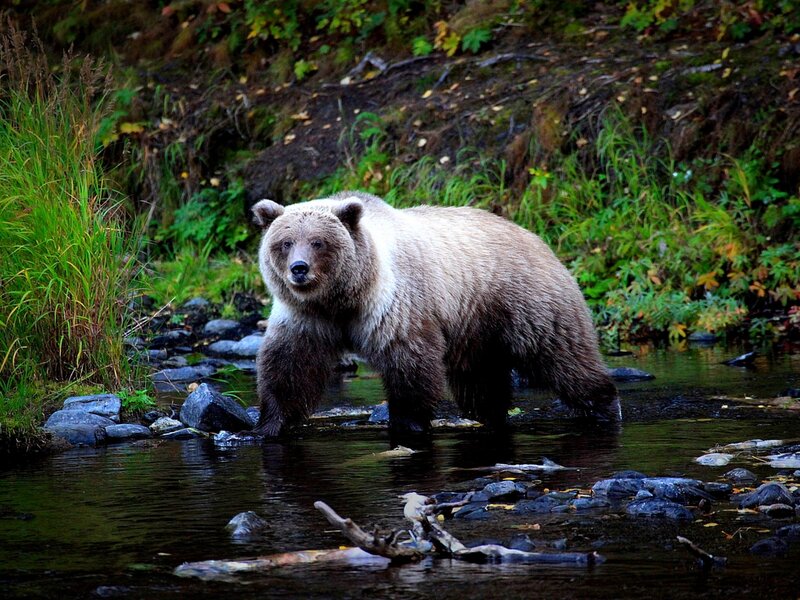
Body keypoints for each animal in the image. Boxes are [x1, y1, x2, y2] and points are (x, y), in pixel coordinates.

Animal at [251, 191, 620, 437]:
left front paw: (408, 423)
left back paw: (603, 406)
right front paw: (269, 424)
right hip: (476, 327)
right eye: (285, 242)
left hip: (524, 300)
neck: (342, 300)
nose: (299, 269)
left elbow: (409, 364)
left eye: (318, 242)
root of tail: (536, 236)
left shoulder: (393, 307)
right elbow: (289, 367)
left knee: (562, 355)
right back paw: (490, 415)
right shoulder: (305, 318)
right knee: (480, 381)